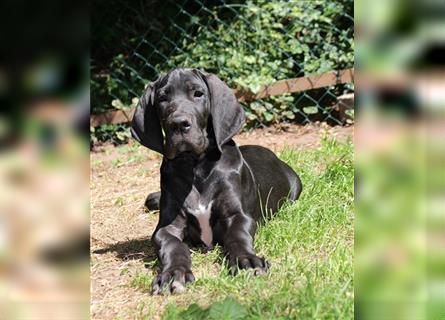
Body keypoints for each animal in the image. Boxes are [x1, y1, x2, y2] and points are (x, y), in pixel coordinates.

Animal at [130, 68, 300, 296]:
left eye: (198, 94)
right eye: (162, 98)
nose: (178, 123)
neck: (196, 166)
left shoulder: (237, 215)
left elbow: (238, 236)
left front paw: (247, 261)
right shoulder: (167, 227)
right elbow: (173, 246)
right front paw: (173, 273)